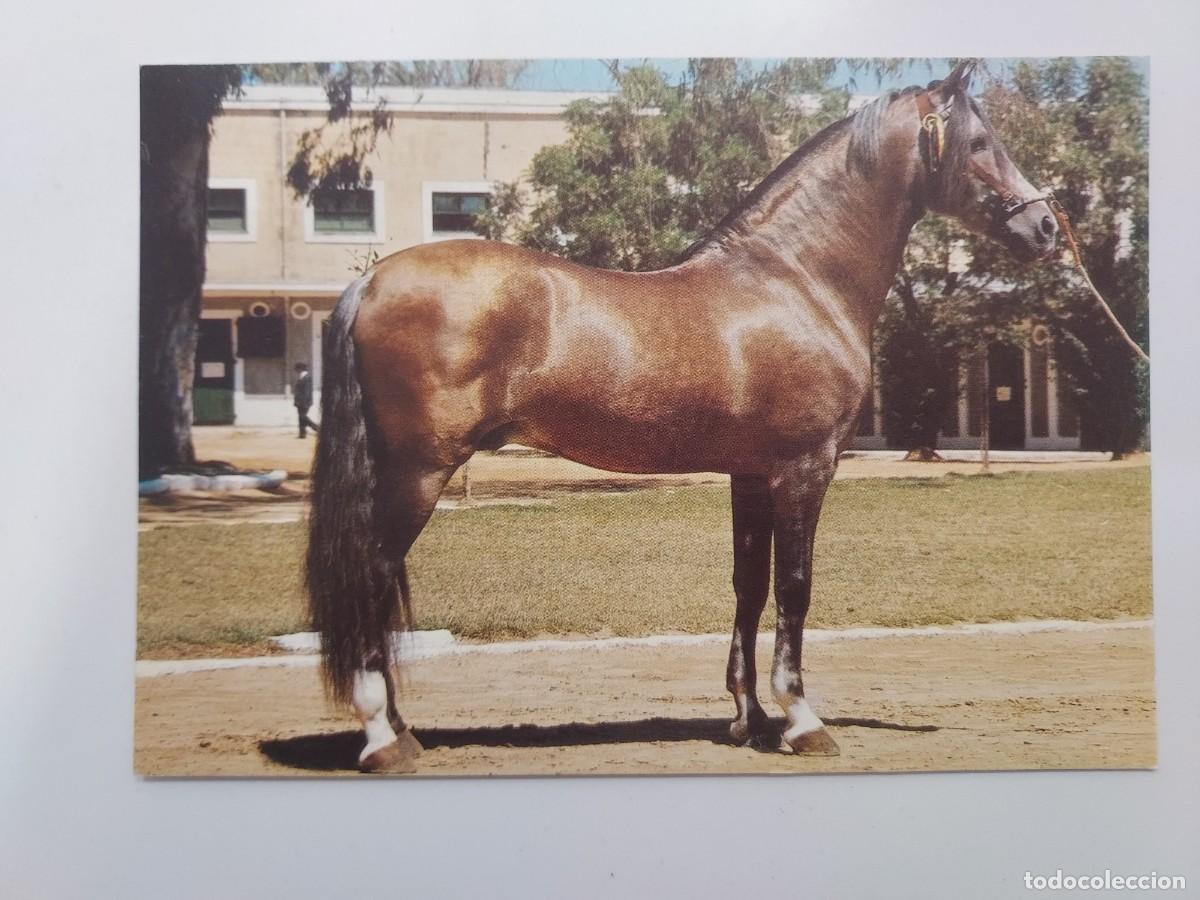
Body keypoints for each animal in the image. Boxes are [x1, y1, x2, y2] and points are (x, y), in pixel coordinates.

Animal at [306, 60, 1060, 773]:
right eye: (980, 142)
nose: (1046, 225)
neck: (795, 281)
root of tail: (370, 281)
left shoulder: (751, 476)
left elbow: (749, 586)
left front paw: (751, 719)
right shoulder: (805, 470)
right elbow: (794, 588)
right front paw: (802, 720)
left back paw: (401, 729)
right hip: (419, 471)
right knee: (372, 577)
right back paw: (383, 738)